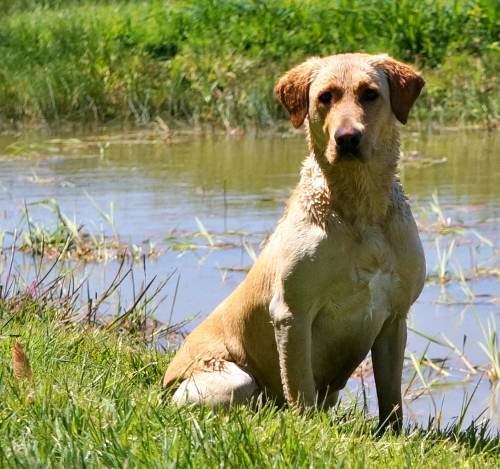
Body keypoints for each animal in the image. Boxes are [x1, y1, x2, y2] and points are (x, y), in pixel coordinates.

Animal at [164, 53, 426, 430]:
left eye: (370, 94)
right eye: (325, 97)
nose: (347, 138)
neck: (359, 210)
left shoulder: (395, 318)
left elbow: (391, 398)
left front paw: (390, 434)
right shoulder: (292, 313)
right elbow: (300, 385)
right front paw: (308, 429)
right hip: (233, 379)